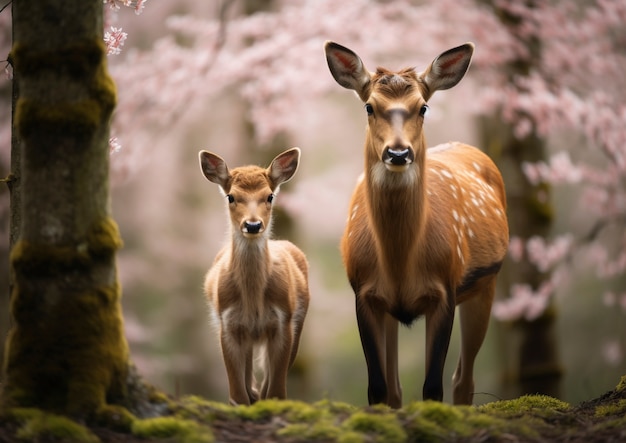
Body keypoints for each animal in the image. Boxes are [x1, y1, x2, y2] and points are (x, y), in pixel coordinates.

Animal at [199, 148, 308, 406]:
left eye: (270, 196)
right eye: (231, 197)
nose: (252, 225)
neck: (253, 298)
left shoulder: (283, 320)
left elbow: (276, 391)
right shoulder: (227, 322)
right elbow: (237, 395)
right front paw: (245, 400)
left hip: (298, 321)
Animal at [324, 43, 510, 408]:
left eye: (423, 107)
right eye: (369, 106)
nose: (398, 153)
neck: (400, 264)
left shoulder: (445, 289)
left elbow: (432, 389)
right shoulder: (364, 293)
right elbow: (379, 390)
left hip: (487, 282)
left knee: (462, 381)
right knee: (399, 388)